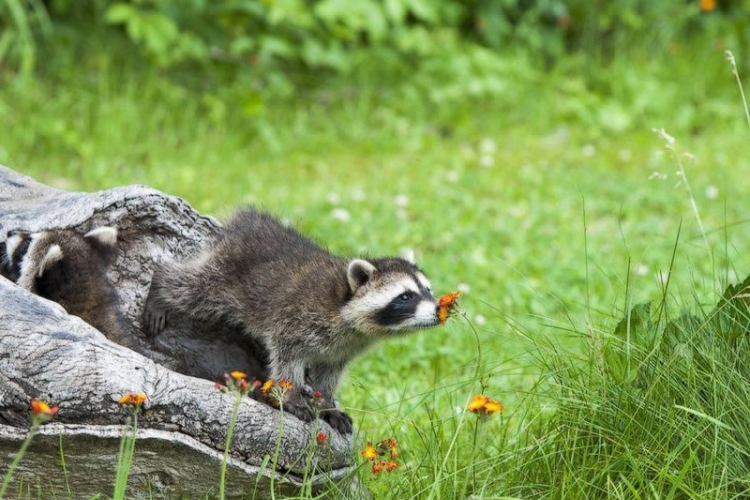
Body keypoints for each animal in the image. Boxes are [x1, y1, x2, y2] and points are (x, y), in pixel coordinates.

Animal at [144, 208, 444, 434]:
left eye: (428, 290)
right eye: (405, 296)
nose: (439, 310)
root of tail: (243, 222)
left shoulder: (342, 348)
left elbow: (329, 375)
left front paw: (327, 404)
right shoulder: (296, 319)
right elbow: (286, 361)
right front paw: (292, 397)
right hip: (224, 278)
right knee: (191, 289)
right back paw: (160, 284)